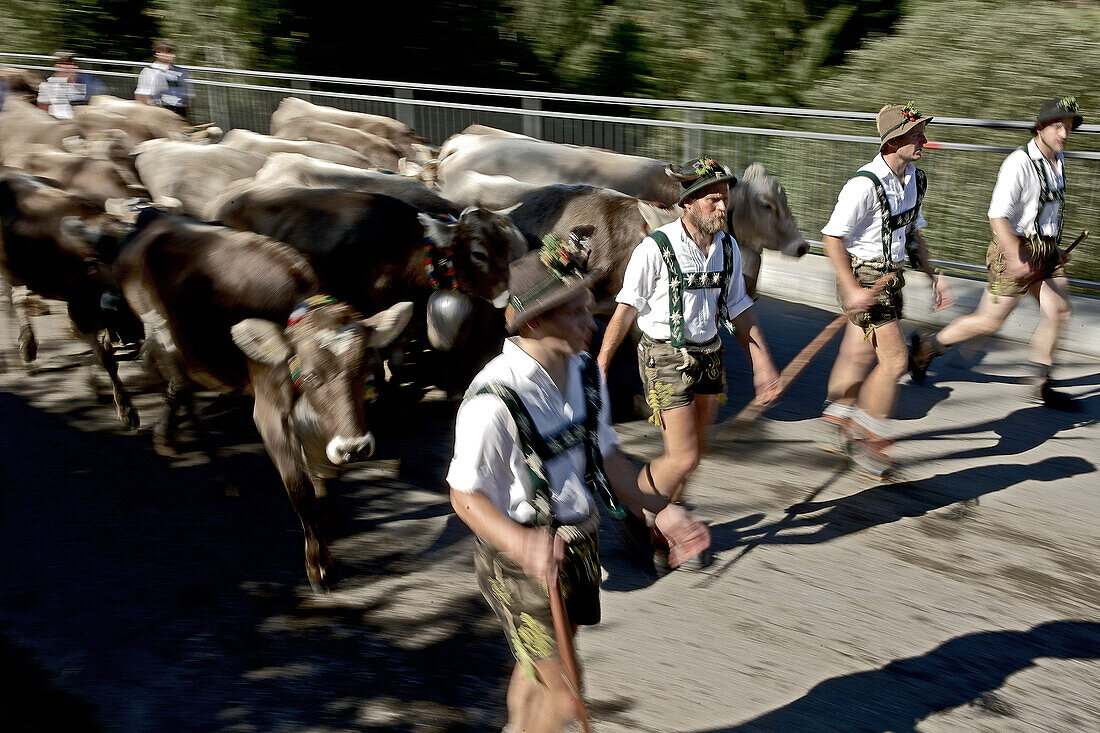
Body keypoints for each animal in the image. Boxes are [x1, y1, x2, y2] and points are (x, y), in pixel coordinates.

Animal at [0, 167, 141, 424]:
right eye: (98, 259)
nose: (115, 299)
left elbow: (104, 349)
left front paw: (95, 385)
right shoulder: (79, 311)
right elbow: (106, 359)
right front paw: (127, 409)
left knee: (18, 299)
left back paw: (27, 349)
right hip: (7, 269)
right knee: (9, 305)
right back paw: (19, 357)